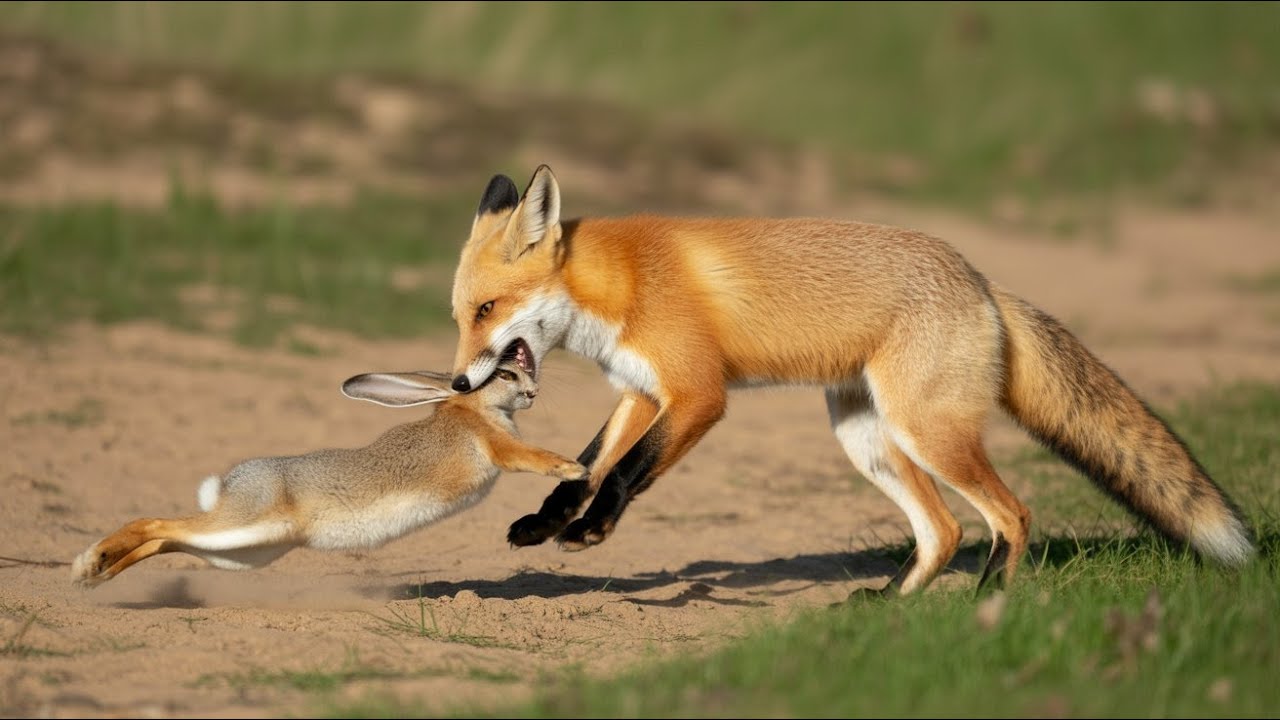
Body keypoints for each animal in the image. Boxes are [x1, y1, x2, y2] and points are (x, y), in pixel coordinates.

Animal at [71, 360, 587, 587]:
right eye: (505, 374)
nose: (533, 391)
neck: (470, 409)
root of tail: (230, 484)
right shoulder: (500, 448)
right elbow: (533, 456)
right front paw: (573, 466)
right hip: (245, 526)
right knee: (153, 523)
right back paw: (90, 563)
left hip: (243, 550)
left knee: (166, 540)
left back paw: (96, 575)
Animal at [447, 164, 1254, 596]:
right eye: (457, 316)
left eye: (488, 310)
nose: (456, 384)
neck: (621, 288)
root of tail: (981, 281)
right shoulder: (643, 391)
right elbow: (583, 466)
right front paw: (547, 523)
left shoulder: (699, 394)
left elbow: (623, 472)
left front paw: (592, 532)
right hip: (866, 438)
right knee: (944, 530)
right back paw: (893, 608)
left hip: (925, 433)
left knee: (1011, 515)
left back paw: (984, 609)